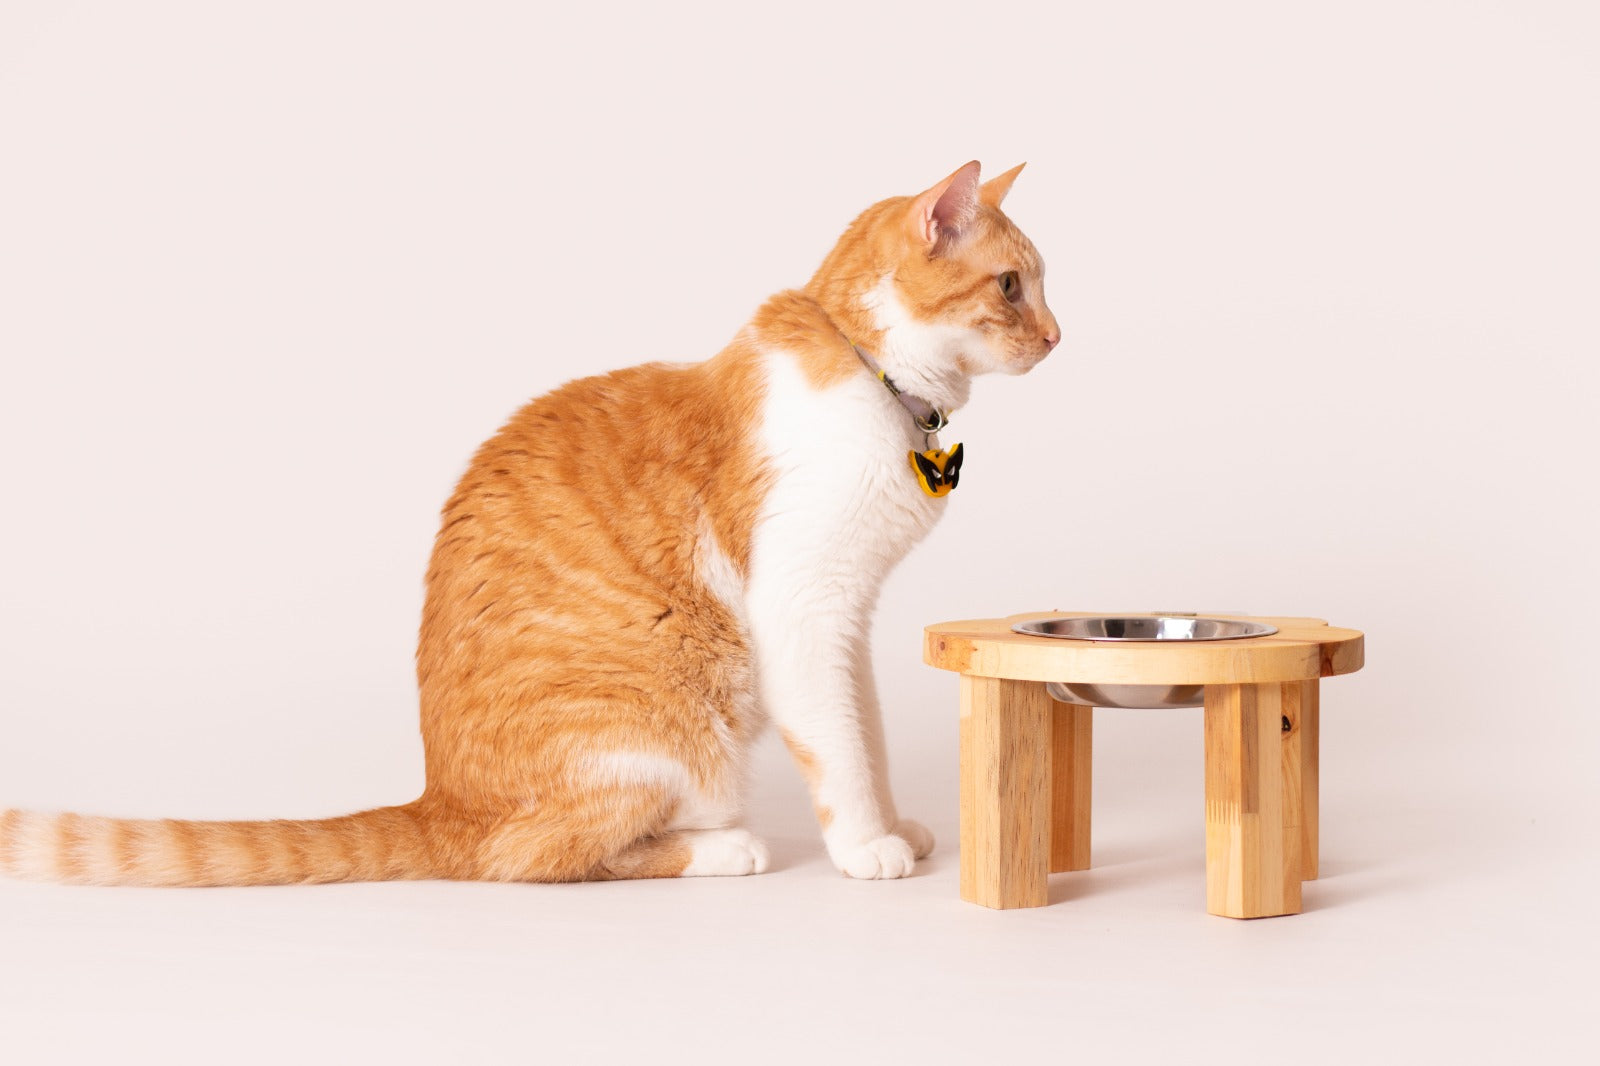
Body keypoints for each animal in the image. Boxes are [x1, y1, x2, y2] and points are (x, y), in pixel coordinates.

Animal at [0, 161, 1058, 886]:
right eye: (1012, 287)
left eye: (1040, 287)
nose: (1057, 336)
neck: (878, 383)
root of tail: (440, 802)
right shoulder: (803, 604)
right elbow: (834, 741)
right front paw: (867, 845)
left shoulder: (850, 617)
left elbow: (863, 726)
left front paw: (896, 824)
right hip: (668, 736)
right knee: (537, 856)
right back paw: (723, 847)